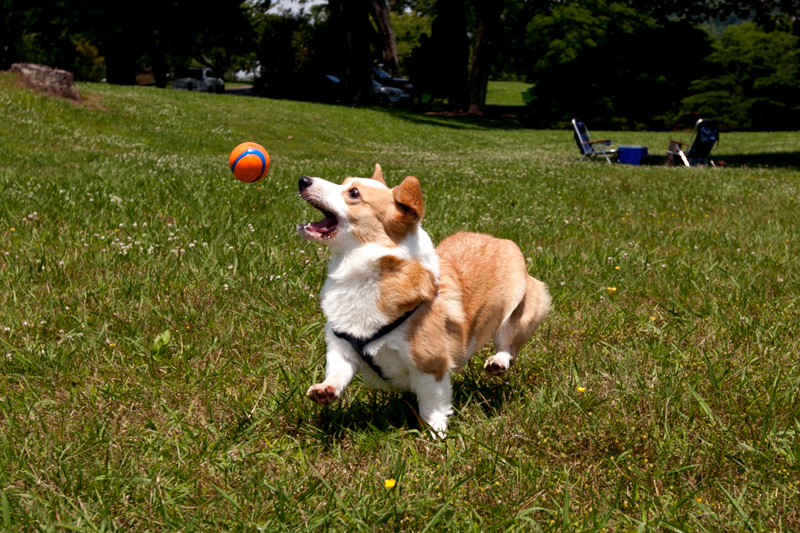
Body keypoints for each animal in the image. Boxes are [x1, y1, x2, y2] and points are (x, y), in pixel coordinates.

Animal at [296, 164, 552, 434]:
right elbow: (338, 371)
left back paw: (498, 362)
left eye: (354, 193)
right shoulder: (341, 347)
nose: (303, 180)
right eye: (345, 182)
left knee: (508, 344)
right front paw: (325, 390)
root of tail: (499, 239)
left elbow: (432, 405)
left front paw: (436, 434)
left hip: (518, 309)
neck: (364, 276)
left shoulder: (429, 366)